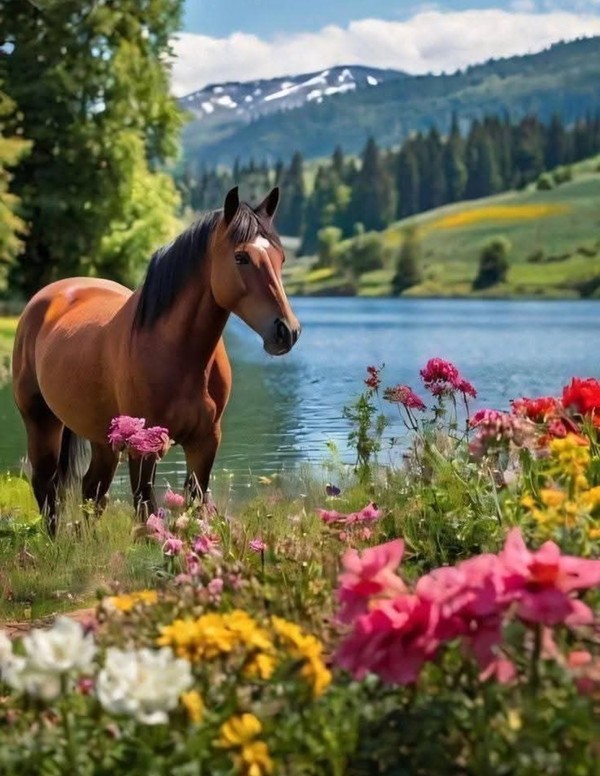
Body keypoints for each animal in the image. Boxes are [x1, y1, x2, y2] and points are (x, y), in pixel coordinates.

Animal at [12, 187, 301, 536]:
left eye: (280, 258)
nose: (286, 331)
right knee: (47, 487)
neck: (177, 353)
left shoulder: (205, 442)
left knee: (92, 491)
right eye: (241, 257)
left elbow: (195, 505)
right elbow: (145, 511)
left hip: (103, 439)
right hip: (40, 421)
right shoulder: (143, 445)